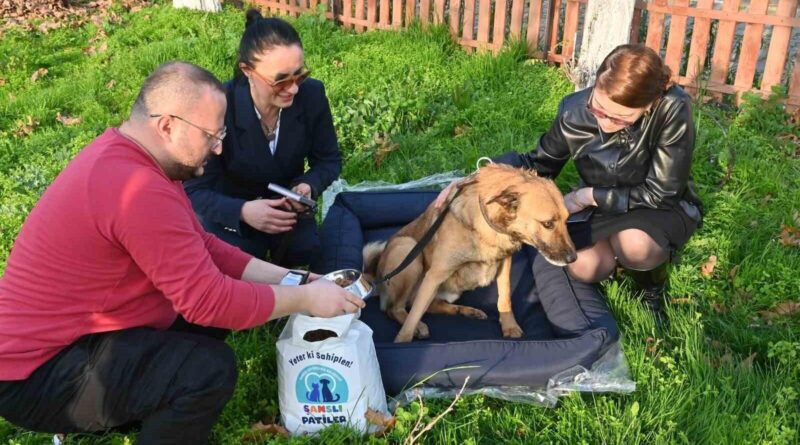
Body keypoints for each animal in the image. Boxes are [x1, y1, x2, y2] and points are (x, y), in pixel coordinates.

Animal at [360, 165, 576, 342]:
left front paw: (509, 326)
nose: (573, 259)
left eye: (567, 220)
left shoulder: (504, 264)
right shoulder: (434, 274)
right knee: (397, 309)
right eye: (547, 224)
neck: (488, 225)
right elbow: (413, 316)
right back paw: (418, 326)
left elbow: (504, 297)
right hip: (408, 250)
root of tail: (374, 277)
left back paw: (467, 311)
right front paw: (403, 340)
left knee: (430, 306)